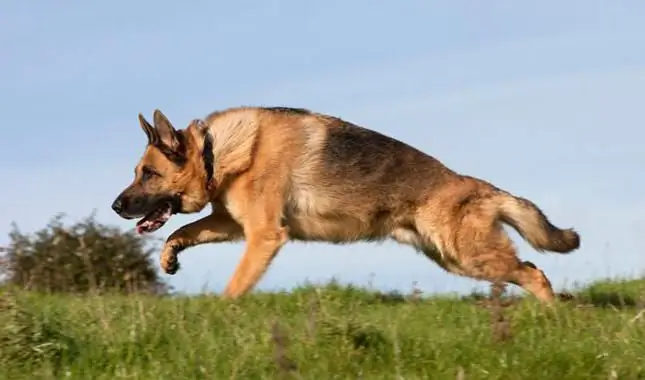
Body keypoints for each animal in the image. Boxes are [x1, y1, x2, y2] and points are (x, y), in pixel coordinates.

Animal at [110, 105, 580, 302]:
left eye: (147, 173)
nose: (115, 206)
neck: (217, 152)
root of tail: (482, 188)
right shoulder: (232, 223)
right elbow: (180, 230)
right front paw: (169, 258)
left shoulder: (263, 235)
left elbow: (233, 287)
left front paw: (219, 315)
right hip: (455, 259)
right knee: (529, 269)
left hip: (468, 254)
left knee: (534, 273)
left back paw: (554, 319)